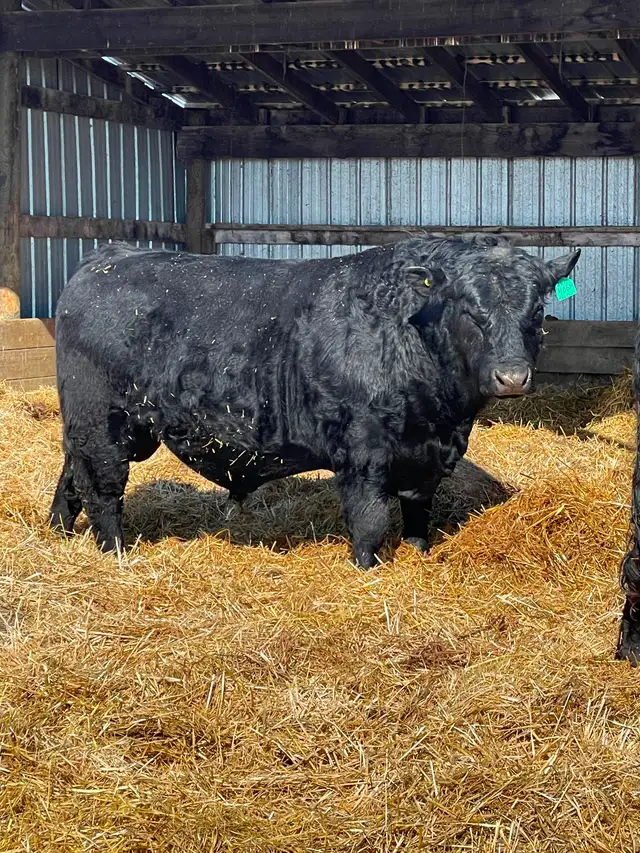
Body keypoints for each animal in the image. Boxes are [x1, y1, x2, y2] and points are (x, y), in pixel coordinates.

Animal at [49, 235, 580, 568]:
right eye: (470, 310)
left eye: (538, 309)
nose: (512, 377)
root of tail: (109, 257)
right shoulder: (364, 453)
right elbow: (370, 521)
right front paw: (368, 571)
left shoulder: (426, 454)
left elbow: (417, 514)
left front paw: (419, 554)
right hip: (104, 424)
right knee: (102, 489)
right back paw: (116, 552)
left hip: (94, 428)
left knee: (70, 477)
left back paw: (59, 532)